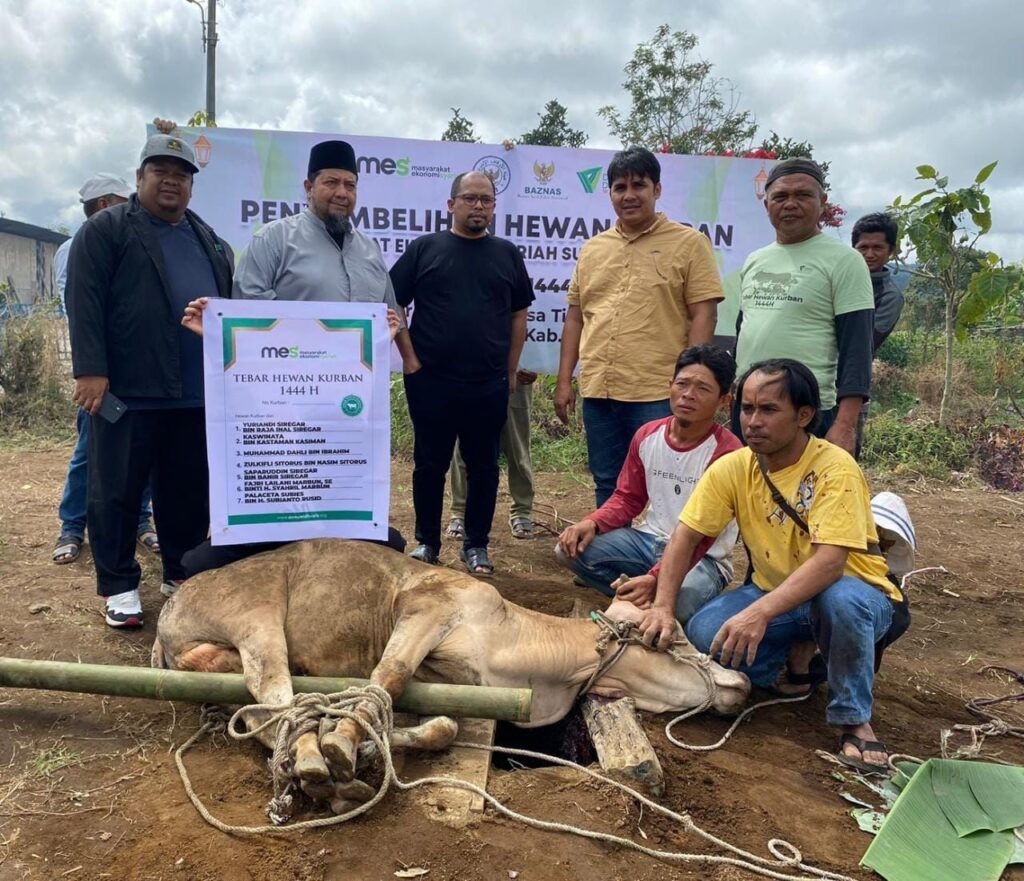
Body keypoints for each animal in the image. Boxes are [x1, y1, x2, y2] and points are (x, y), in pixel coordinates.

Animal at [151, 540, 749, 803]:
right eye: (669, 637)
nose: (740, 682)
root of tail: (170, 607)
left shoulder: (451, 684)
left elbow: (441, 724)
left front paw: (367, 751)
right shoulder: (426, 610)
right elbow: (385, 677)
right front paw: (342, 744)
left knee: (258, 711)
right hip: (257, 619)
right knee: (276, 698)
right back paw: (315, 761)